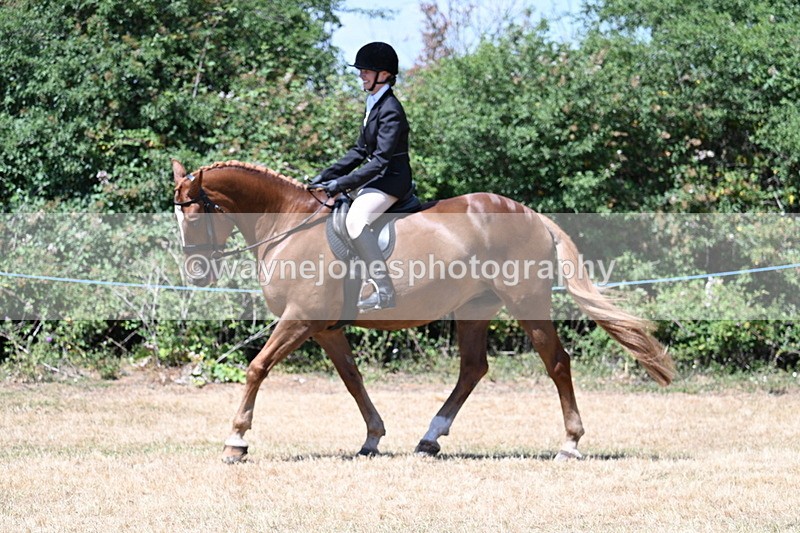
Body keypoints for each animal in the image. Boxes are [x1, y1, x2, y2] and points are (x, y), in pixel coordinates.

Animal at [171, 159, 675, 462]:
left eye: (194, 216)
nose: (196, 273)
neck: (288, 224)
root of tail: (532, 215)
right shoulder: (326, 327)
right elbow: (352, 379)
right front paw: (372, 438)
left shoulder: (300, 318)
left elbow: (256, 368)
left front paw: (236, 441)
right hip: (474, 307)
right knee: (473, 368)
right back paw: (429, 439)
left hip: (527, 301)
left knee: (556, 362)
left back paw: (569, 444)